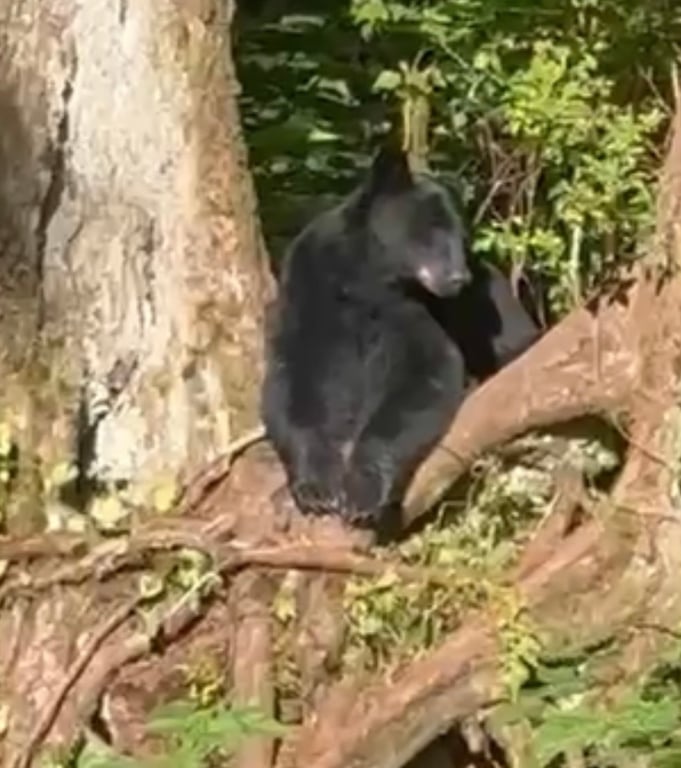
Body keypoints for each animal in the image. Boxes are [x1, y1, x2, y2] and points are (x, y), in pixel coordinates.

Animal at [261, 144, 539, 528]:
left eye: (462, 236)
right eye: (432, 230)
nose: (459, 277)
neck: (369, 279)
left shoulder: (411, 313)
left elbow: (424, 374)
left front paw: (361, 492)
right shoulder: (311, 292)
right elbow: (295, 380)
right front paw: (316, 488)